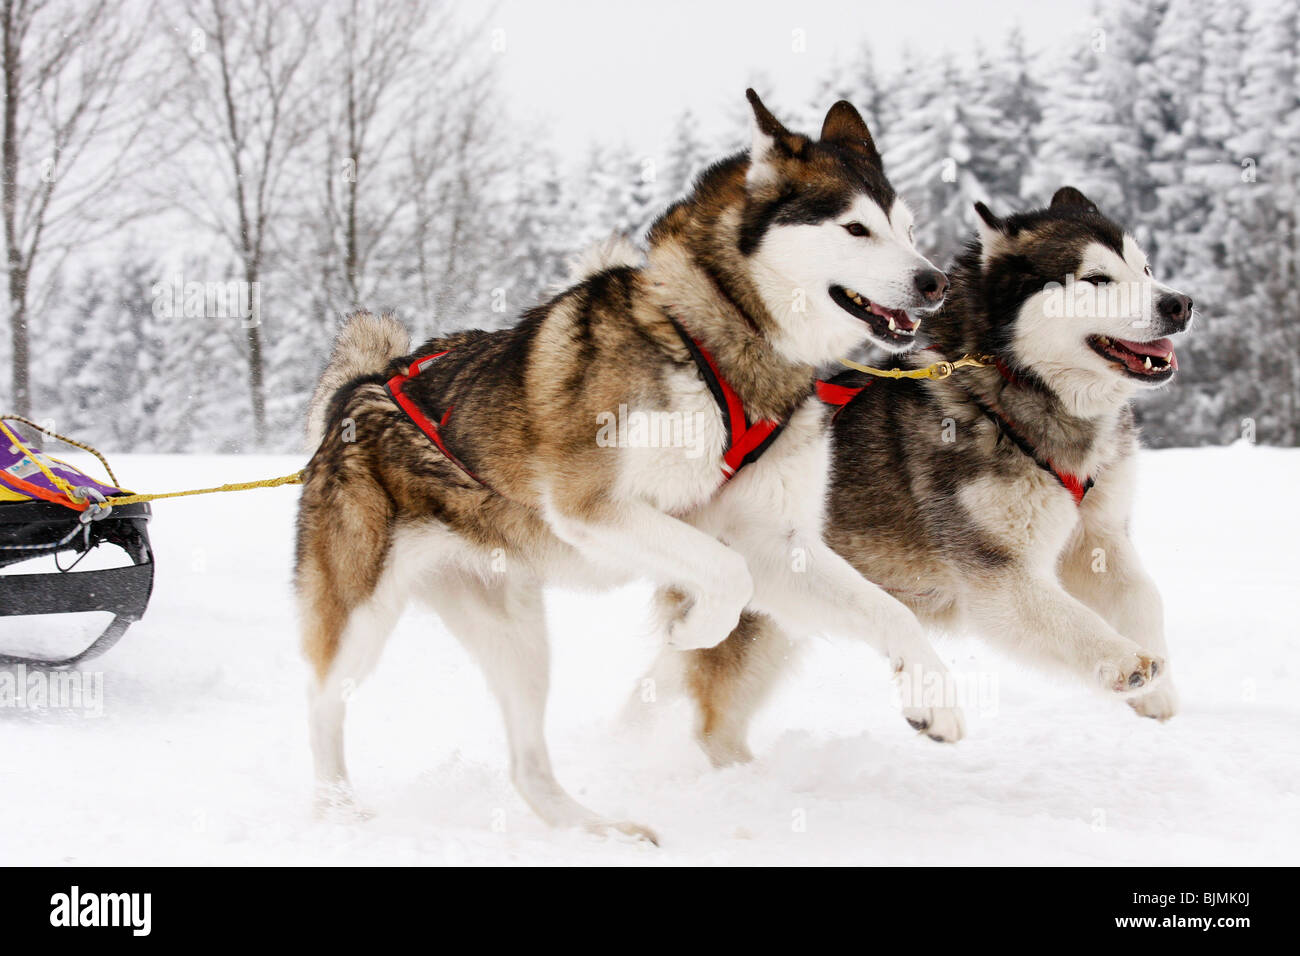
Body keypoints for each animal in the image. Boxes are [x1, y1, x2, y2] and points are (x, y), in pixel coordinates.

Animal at [299, 87, 961, 837]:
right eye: (855, 229)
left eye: (908, 227)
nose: (934, 281)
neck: (718, 338)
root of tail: (360, 389)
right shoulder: (594, 509)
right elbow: (726, 578)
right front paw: (694, 628)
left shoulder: (772, 542)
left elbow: (889, 612)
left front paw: (934, 697)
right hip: (360, 616)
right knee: (321, 708)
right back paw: (336, 812)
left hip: (516, 633)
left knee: (527, 766)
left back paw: (596, 830)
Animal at [681, 187, 1196, 764]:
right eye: (1098, 279)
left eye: (1145, 268)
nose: (1179, 303)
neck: (1016, 399)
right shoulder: (999, 577)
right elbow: (1072, 620)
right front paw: (1126, 661)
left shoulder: (1098, 534)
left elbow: (1144, 595)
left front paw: (1160, 691)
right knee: (713, 719)